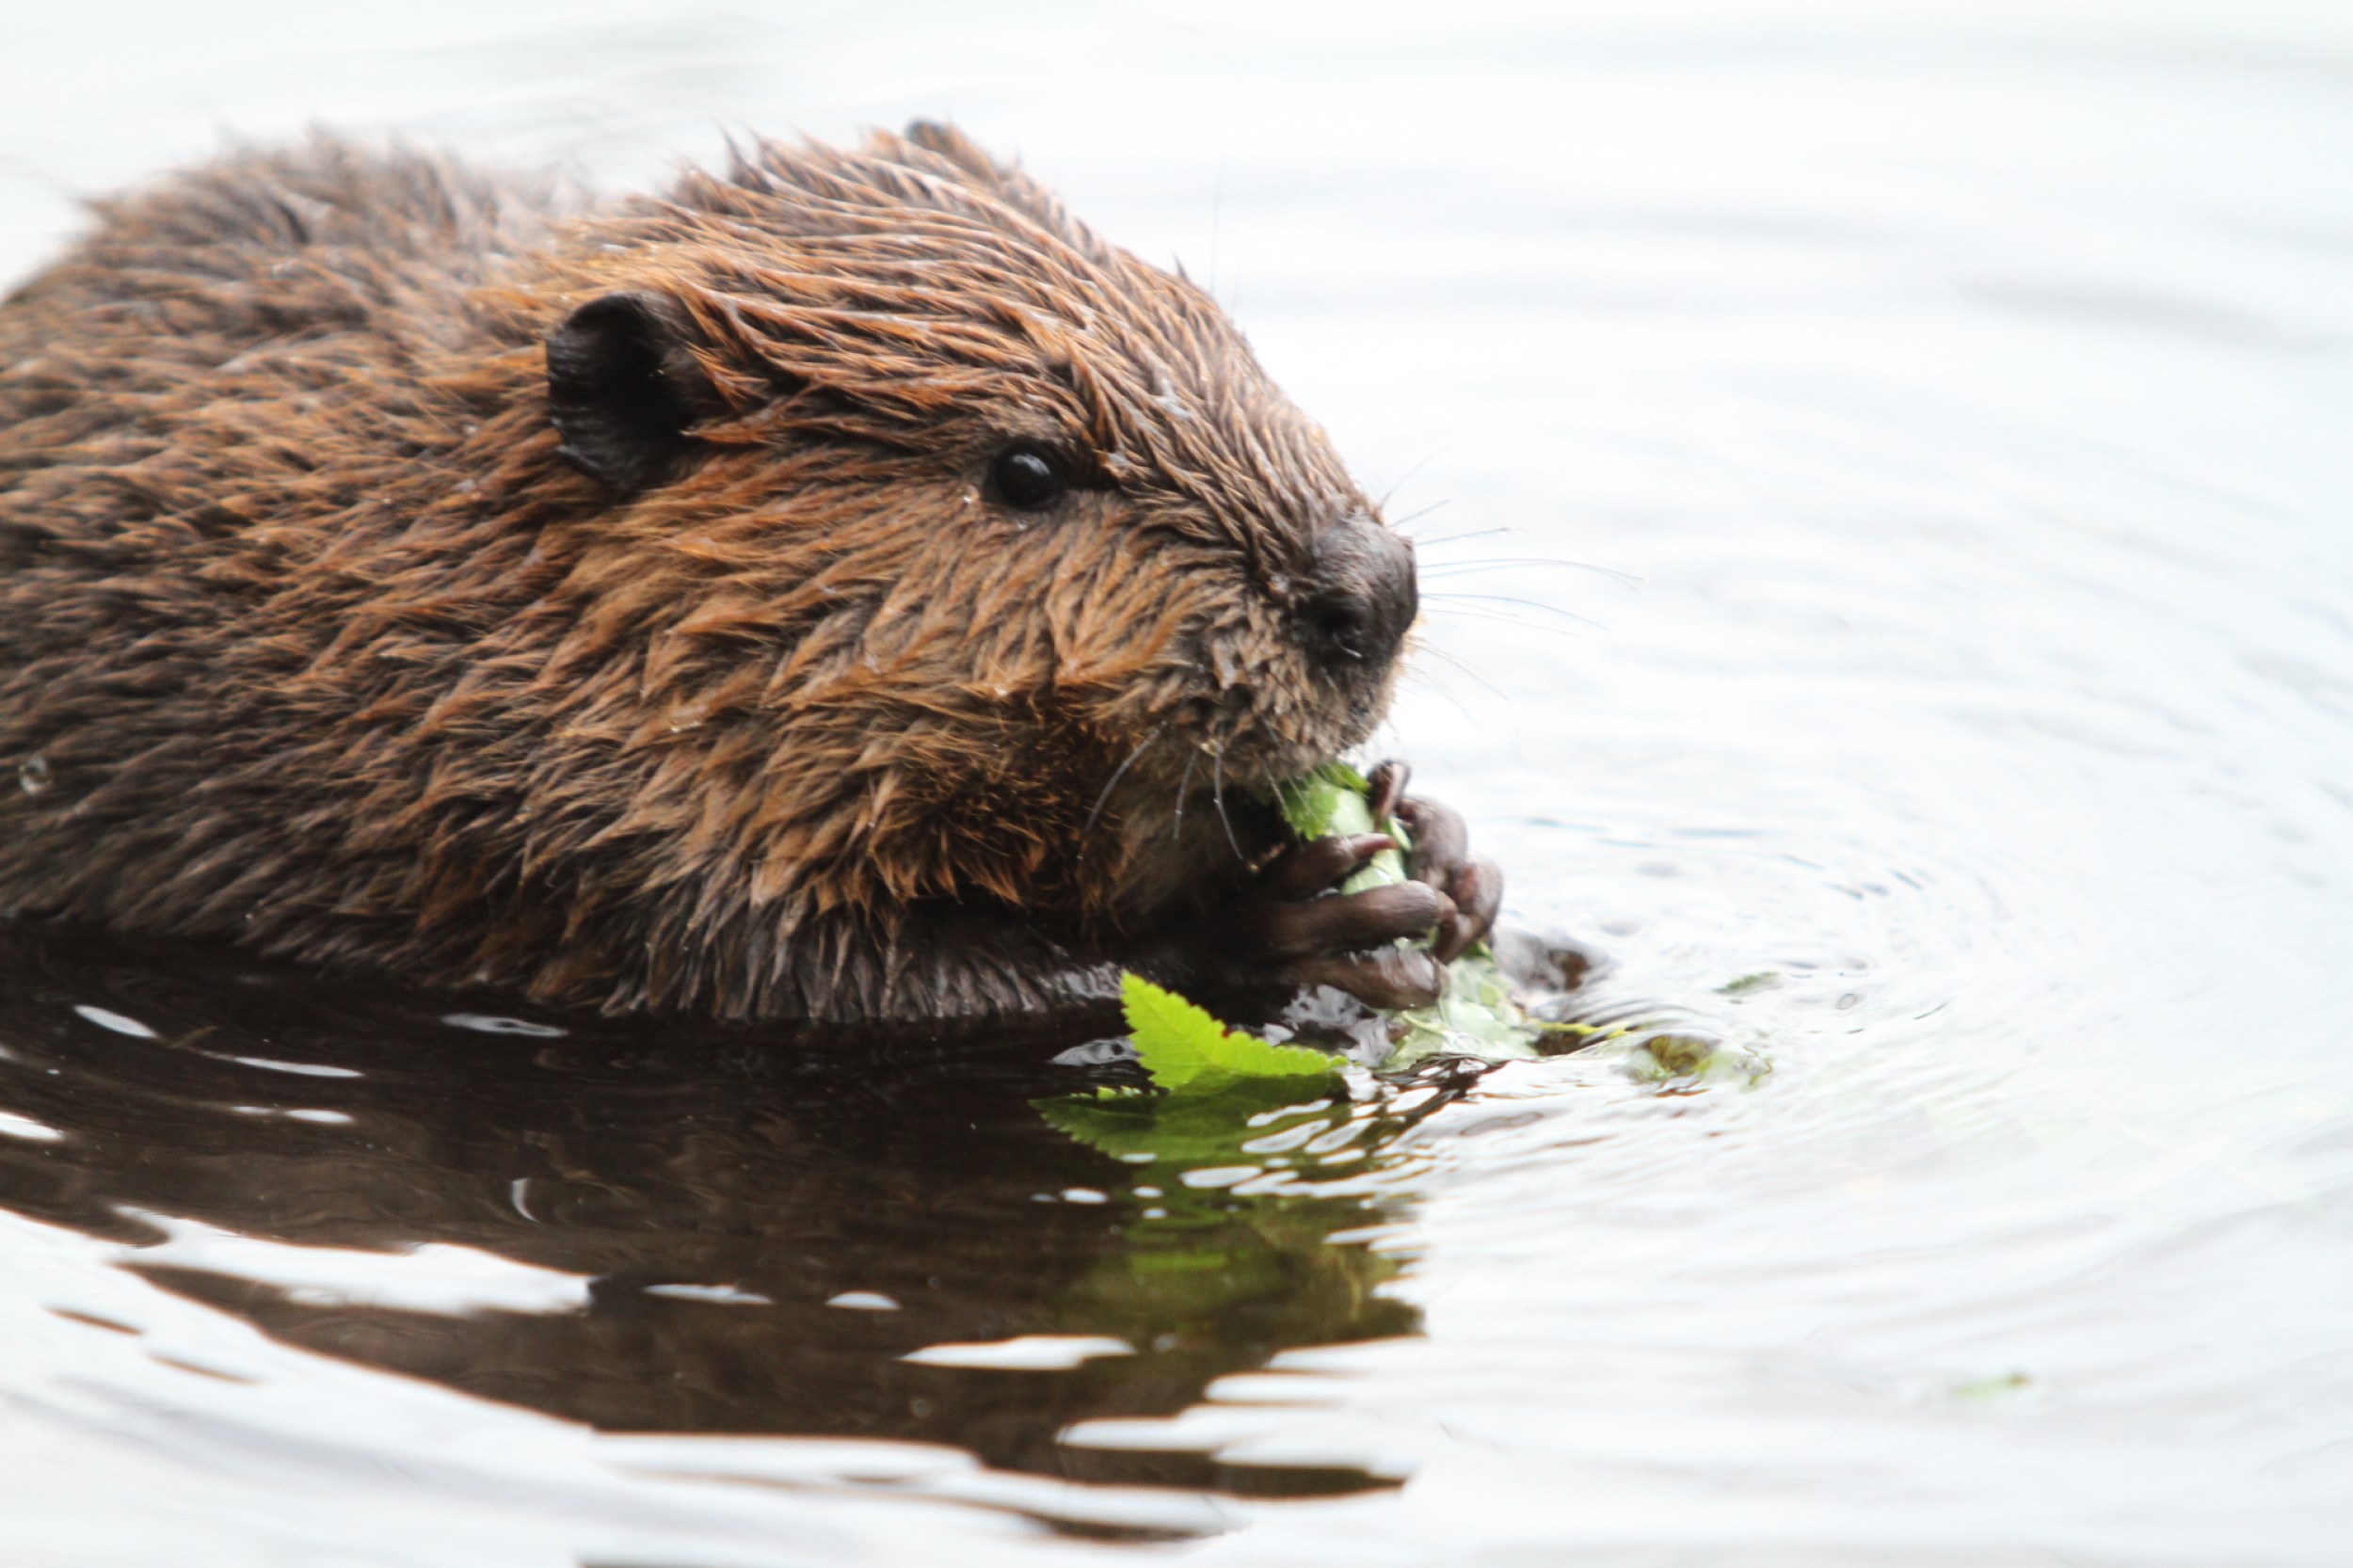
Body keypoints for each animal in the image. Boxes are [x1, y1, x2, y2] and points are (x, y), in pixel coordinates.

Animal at [0, 125, 1497, 1026]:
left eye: (1218, 329)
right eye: (1026, 468)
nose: (1371, 592)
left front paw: (1447, 850)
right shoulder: (553, 812)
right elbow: (844, 977)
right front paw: (1297, 916)